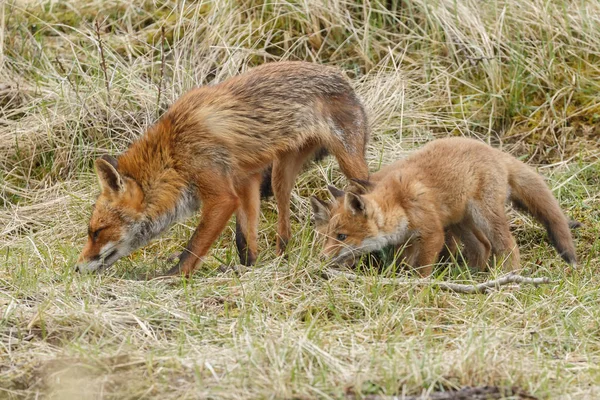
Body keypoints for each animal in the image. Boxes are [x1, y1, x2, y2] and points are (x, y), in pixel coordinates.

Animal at [77, 61, 368, 276]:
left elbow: (194, 246)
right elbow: (245, 239)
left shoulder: (222, 196)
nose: (76, 268)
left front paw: (172, 277)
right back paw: (281, 261)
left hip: (351, 164)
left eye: (97, 232)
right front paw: (247, 270)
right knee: (284, 228)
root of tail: (342, 76)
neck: (173, 152)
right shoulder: (245, 180)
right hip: (280, 174)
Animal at [310, 138, 576, 276]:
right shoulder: (408, 240)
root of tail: (494, 151)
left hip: (484, 216)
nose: (321, 258)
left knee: (508, 246)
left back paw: (507, 277)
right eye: (325, 237)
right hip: (461, 221)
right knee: (482, 246)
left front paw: (417, 288)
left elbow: (422, 267)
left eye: (342, 236)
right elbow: (405, 262)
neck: (399, 203)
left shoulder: (432, 233)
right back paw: (470, 276)